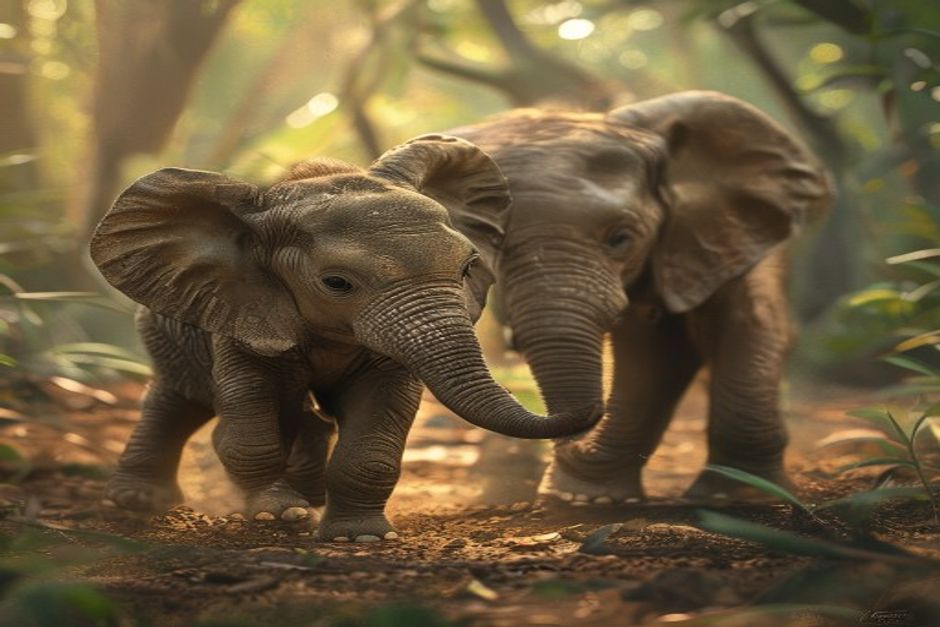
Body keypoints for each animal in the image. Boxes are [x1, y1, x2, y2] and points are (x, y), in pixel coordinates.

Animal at [89, 134, 602, 541]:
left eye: (467, 268)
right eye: (336, 283)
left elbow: (379, 417)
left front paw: (358, 538)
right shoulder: (244, 315)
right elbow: (247, 417)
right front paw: (280, 515)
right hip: (164, 329)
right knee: (179, 399)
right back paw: (137, 502)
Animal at [446, 91, 832, 504]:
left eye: (620, 238)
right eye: (489, 245)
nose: (566, 446)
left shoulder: (727, 231)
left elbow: (744, 323)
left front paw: (738, 499)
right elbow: (653, 353)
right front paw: (584, 500)